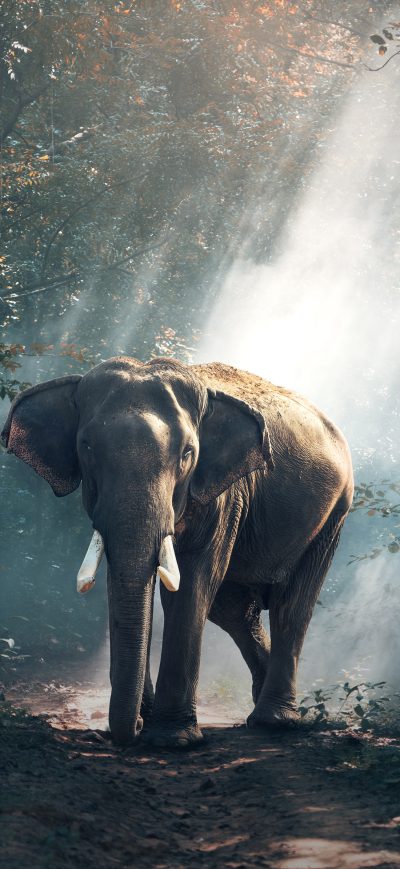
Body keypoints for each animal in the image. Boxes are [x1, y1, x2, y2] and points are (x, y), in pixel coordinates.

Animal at [1, 357, 353, 748]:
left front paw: (172, 739)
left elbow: (192, 584)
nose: (134, 727)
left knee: (291, 606)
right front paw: (149, 721)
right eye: (86, 447)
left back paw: (273, 722)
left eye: (187, 453)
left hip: (334, 514)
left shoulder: (224, 495)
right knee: (233, 610)